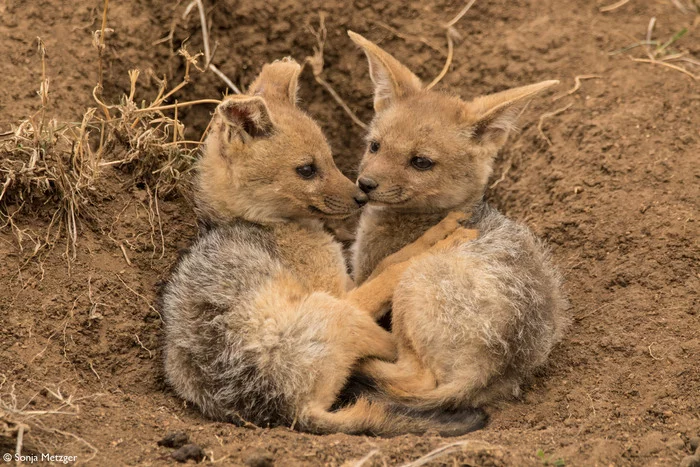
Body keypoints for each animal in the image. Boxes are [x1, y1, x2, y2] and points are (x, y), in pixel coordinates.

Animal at [161, 57, 486, 436]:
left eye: (330, 158)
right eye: (306, 169)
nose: (361, 195)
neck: (254, 221)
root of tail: (290, 412)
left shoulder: (348, 282)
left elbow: (390, 260)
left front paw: (443, 227)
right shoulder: (344, 293)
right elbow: (396, 266)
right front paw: (446, 235)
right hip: (344, 313)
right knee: (405, 363)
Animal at [348, 32, 572, 410]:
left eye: (421, 162)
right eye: (375, 146)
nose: (364, 185)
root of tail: (494, 362)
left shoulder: (366, 272)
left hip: (411, 283)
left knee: (413, 378)